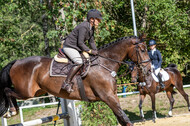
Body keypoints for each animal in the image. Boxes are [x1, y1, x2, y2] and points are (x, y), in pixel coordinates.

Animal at [0, 35, 151, 126]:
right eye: (142, 50)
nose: (149, 69)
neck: (105, 64)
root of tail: (16, 62)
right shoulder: (108, 97)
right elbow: (124, 117)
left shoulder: (113, 96)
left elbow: (121, 117)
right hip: (26, 92)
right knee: (7, 90)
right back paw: (11, 111)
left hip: (37, 91)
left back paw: (12, 110)